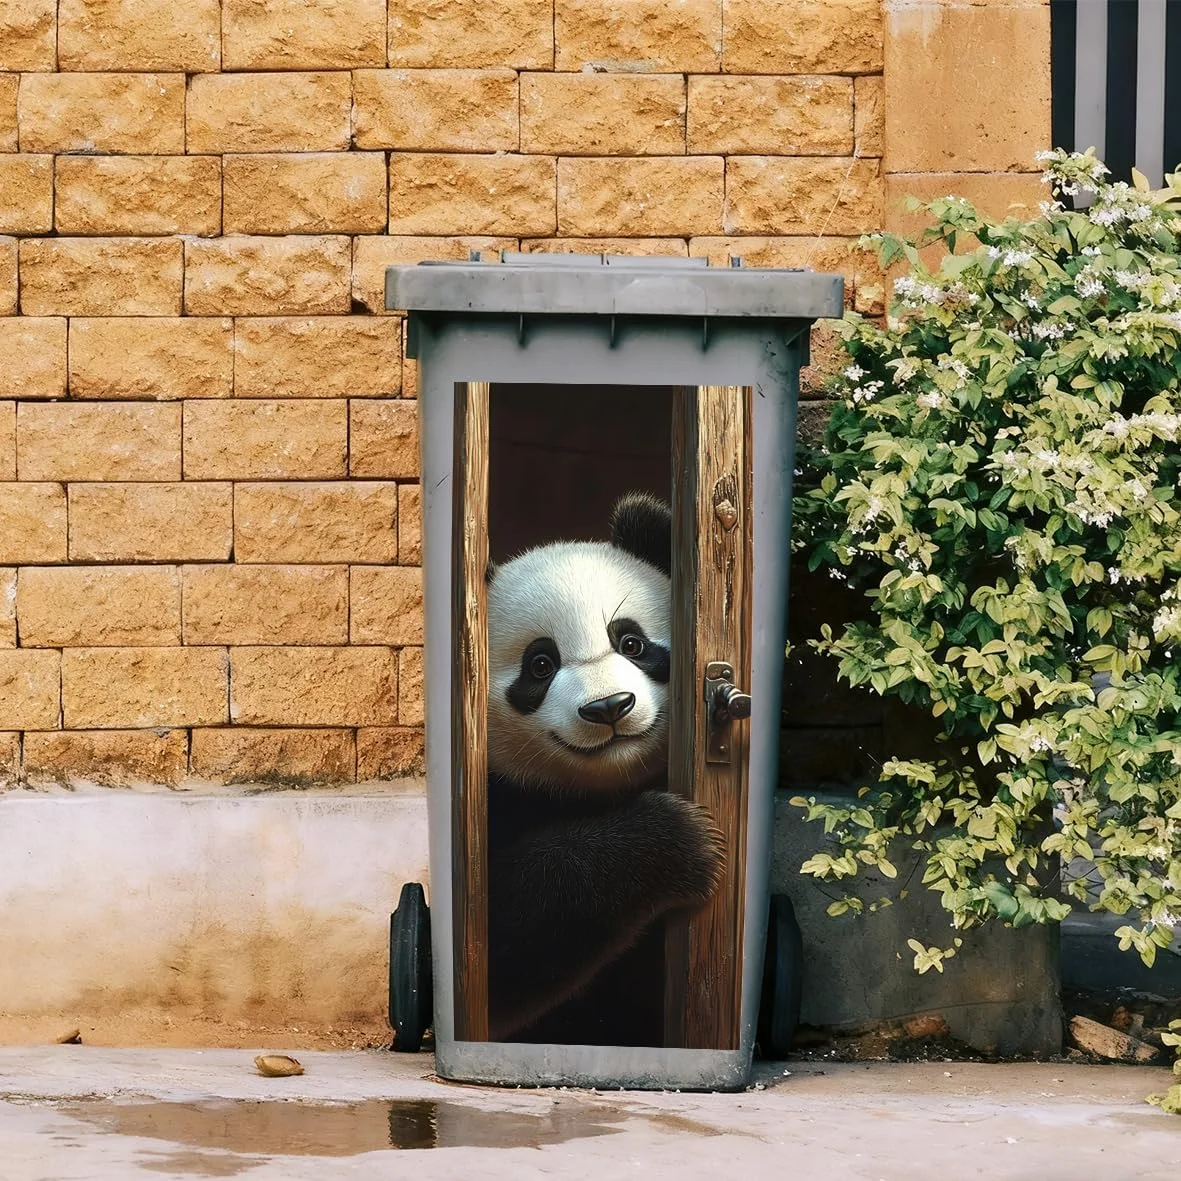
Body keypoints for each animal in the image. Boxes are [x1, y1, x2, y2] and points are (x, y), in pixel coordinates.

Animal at [485, 491, 725, 1045]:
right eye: (540, 665)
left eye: (631, 642)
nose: (609, 707)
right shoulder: (499, 796)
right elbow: (508, 932)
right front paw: (681, 838)